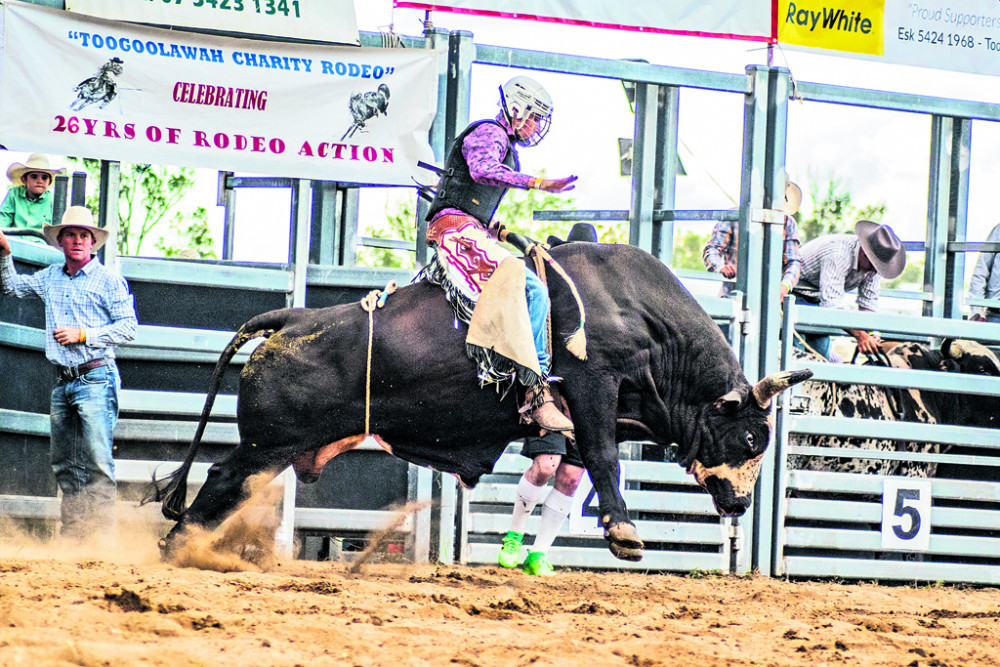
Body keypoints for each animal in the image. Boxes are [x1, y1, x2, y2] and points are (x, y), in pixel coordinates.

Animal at [148, 243, 812, 560]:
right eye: (751, 437)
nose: (740, 503)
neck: (637, 313)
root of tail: (292, 319)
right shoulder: (592, 386)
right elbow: (603, 457)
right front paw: (624, 532)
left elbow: (584, 466)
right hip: (269, 443)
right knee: (220, 478)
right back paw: (179, 550)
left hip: (279, 449)